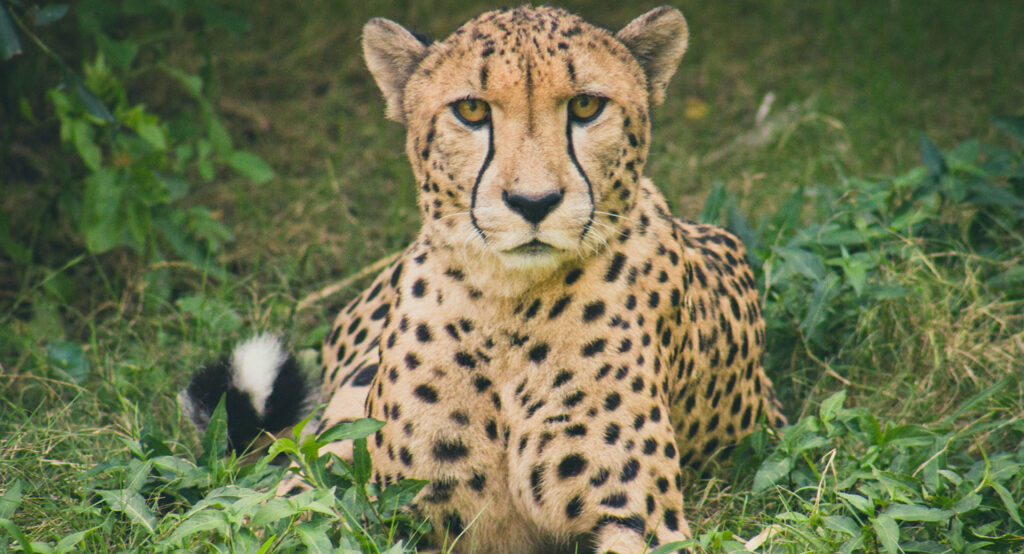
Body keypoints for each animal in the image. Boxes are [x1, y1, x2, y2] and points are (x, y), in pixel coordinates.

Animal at [181, 6, 785, 554]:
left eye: (586, 105)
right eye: (471, 109)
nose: (533, 202)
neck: (509, 305)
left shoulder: (640, 520)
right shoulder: (394, 508)